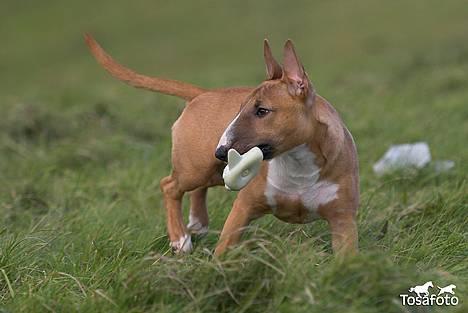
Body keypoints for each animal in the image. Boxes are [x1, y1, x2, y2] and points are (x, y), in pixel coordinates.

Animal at [86, 34, 360, 255]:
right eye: (239, 109)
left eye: (262, 111)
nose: (220, 151)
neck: (297, 163)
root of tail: (201, 94)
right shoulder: (244, 207)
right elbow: (224, 247)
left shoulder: (343, 220)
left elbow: (346, 260)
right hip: (196, 167)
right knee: (170, 185)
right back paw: (180, 239)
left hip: (215, 172)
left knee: (197, 189)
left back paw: (197, 224)